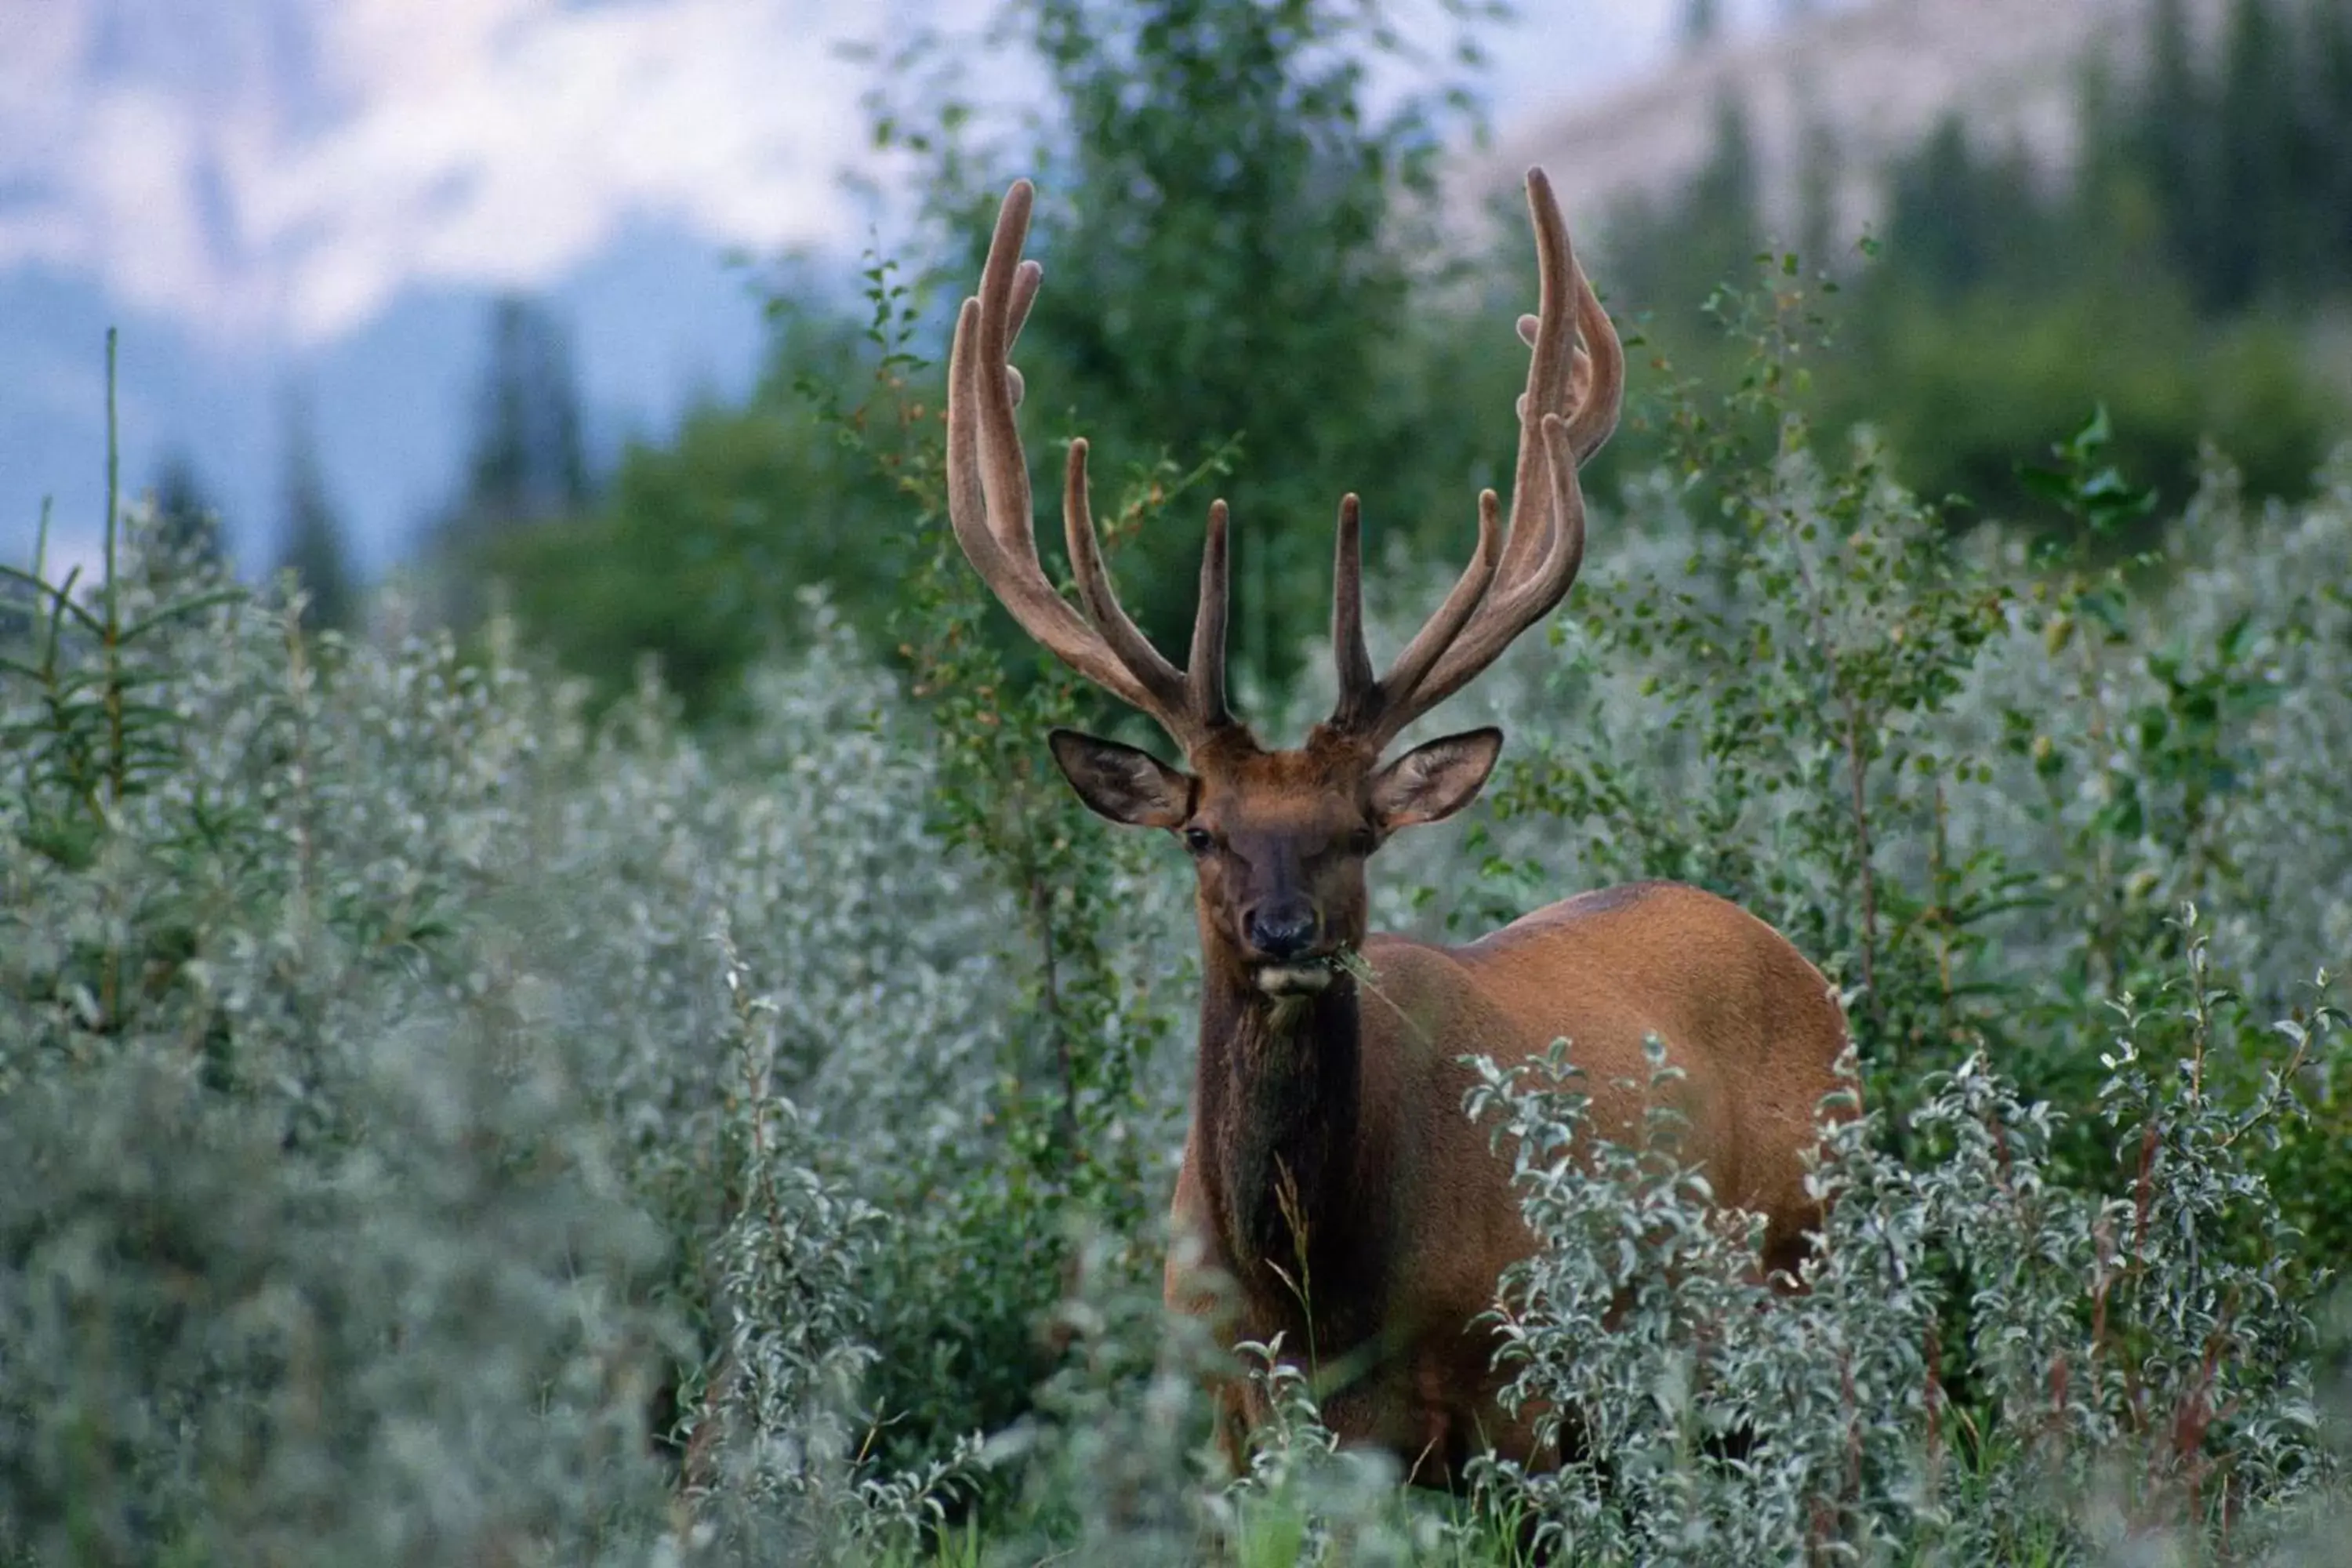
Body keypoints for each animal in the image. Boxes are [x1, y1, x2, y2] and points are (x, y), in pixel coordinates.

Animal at [941, 169, 1853, 1486]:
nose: (1284, 932)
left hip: (1816, 1259)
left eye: (1359, 831)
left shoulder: (1518, 1396)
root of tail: (1802, 967)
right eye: (1201, 834)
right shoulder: (1225, 1412)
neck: (1310, 1298)